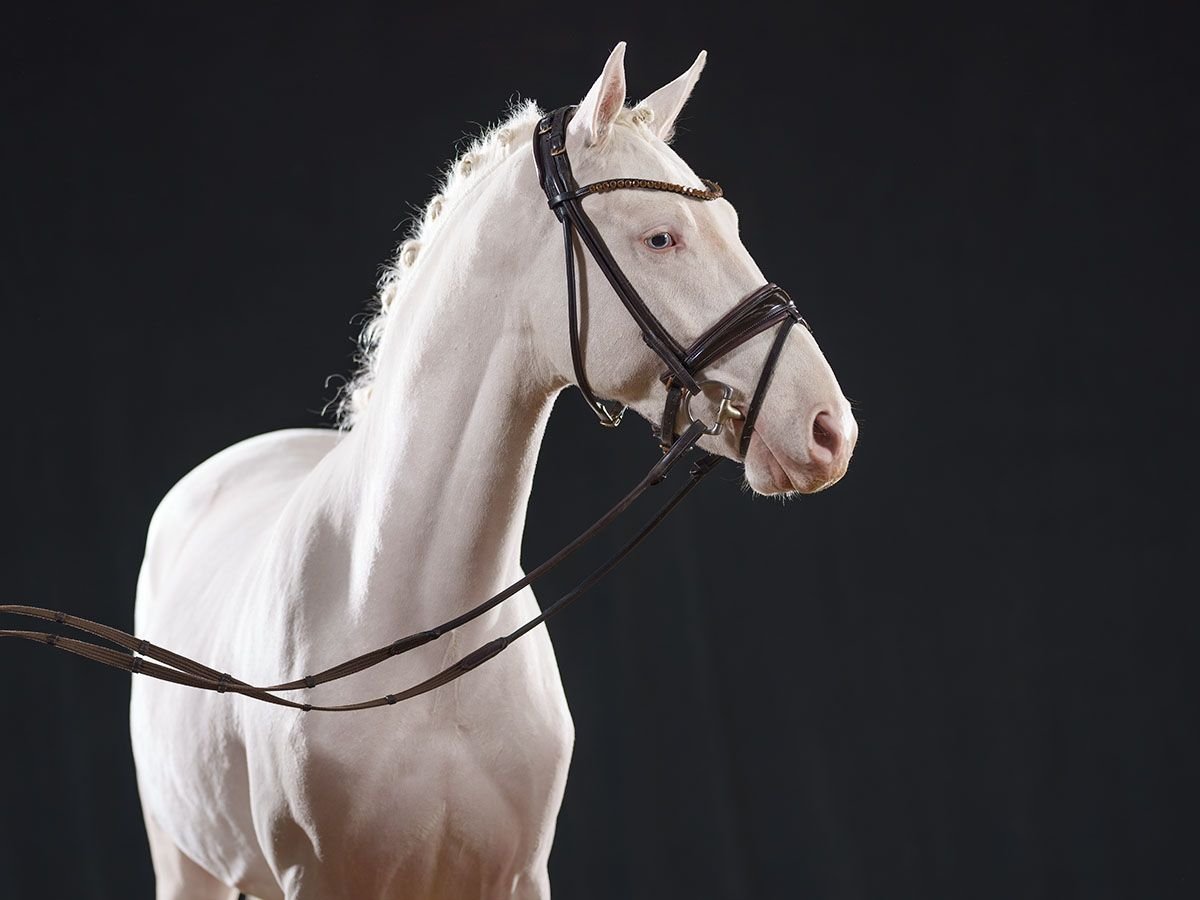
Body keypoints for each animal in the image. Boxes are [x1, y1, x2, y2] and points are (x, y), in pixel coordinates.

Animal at [126, 44, 859, 900]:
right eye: (661, 239)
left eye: (732, 226)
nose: (829, 428)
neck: (420, 639)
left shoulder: (516, 877)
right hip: (184, 864)